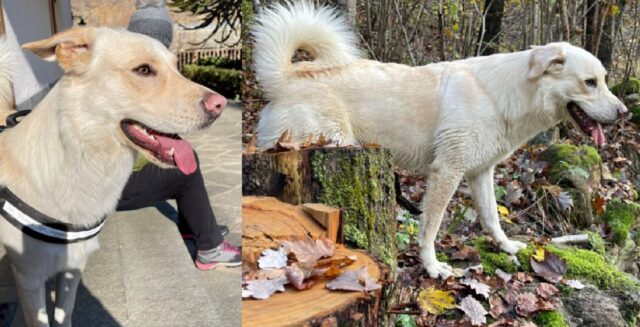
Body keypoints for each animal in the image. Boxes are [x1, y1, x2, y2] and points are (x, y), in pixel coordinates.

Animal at [0, 28, 228, 327]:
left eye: (176, 67)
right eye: (143, 70)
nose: (221, 105)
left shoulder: (72, 269)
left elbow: (64, 315)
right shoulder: (30, 279)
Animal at [252, 1, 628, 280]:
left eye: (603, 80)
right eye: (590, 83)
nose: (624, 112)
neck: (504, 94)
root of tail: (287, 78)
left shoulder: (480, 173)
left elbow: (491, 217)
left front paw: (505, 246)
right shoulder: (447, 171)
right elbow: (431, 227)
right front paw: (432, 267)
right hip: (331, 142)